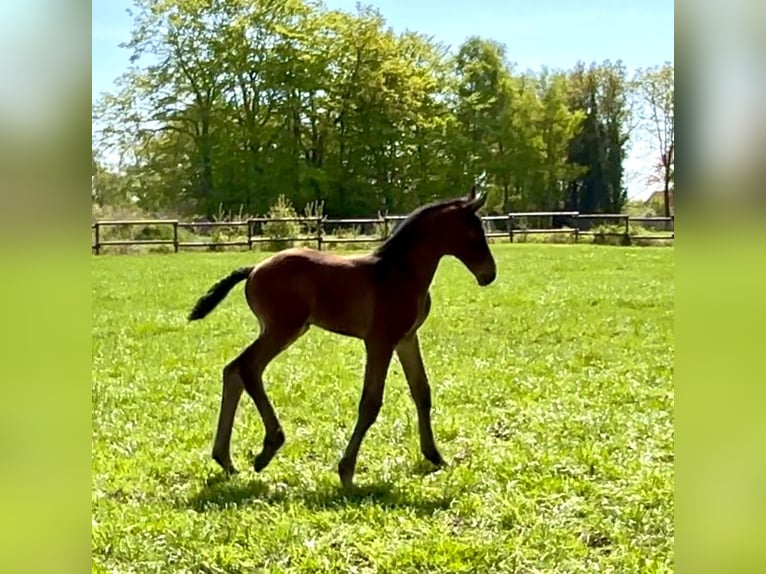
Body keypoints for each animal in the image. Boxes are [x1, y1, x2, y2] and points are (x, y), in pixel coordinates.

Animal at [187, 186, 497, 488]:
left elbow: (422, 392)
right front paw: (347, 471)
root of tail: (253, 270)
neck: (400, 272)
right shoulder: (380, 342)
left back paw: (226, 459)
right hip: (284, 329)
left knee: (233, 370)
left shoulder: (407, 339)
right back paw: (268, 447)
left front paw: (435, 456)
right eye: (474, 234)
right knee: (247, 368)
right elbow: (370, 403)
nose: (489, 274)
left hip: (280, 330)